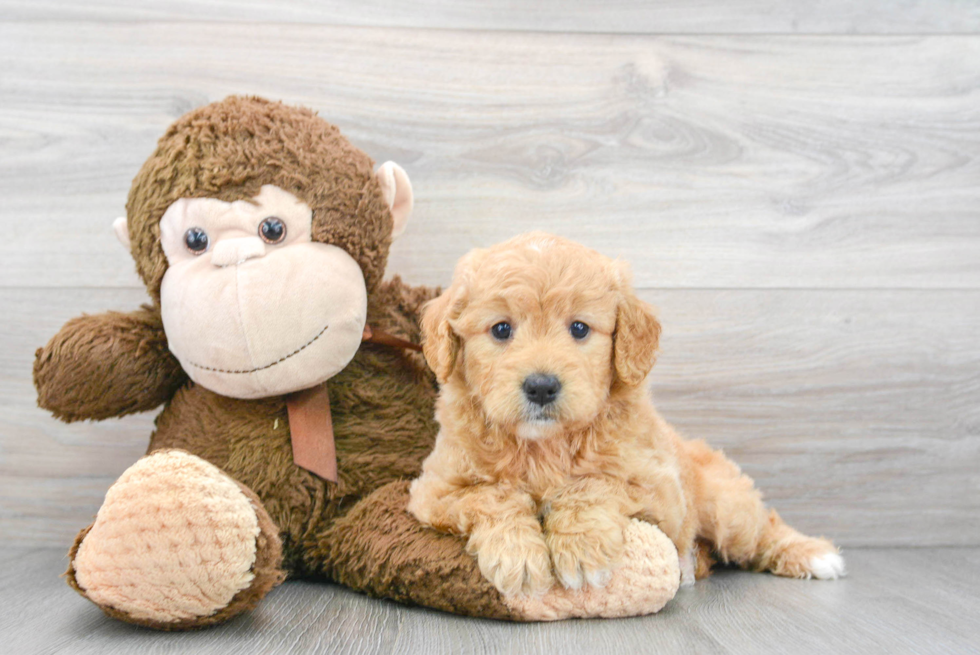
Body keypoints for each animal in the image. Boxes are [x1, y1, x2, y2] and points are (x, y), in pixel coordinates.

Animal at [410, 233, 848, 596]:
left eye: (580, 328)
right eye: (501, 329)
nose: (541, 386)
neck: (544, 447)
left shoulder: (662, 493)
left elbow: (593, 484)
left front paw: (581, 549)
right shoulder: (433, 490)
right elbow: (489, 494)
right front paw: (518, 555)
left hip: (726, 507)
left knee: (762, 528)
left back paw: (813, 554)